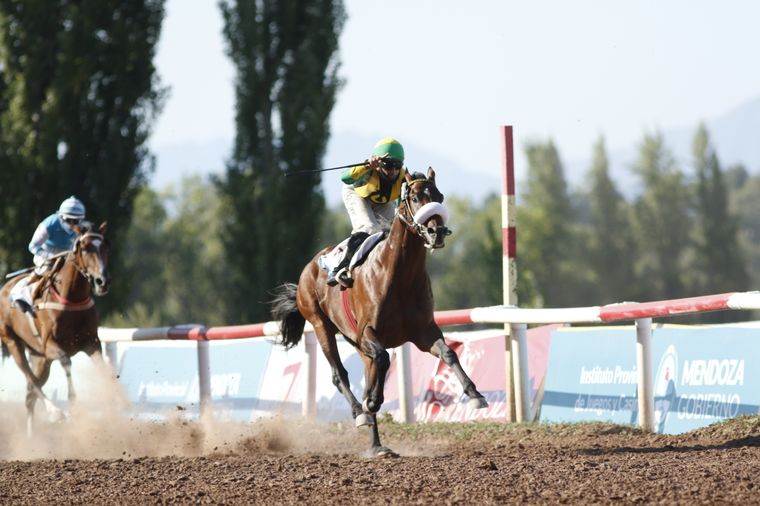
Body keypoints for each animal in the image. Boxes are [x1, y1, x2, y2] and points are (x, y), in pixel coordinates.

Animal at [0, 221, 110, 435]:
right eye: (85, 248)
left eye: (105, 247)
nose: (103, 281)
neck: (71, 297)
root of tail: (4, 288)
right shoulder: (51, 345)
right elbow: (66, 361)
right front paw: (72, 405)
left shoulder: (92, 342)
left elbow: (105, 371)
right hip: (13, 342)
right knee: (32, 381)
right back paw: (55, 412)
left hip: (40, 357)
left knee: (30, 394)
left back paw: (31, 438)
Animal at [271, 168, 488, 456]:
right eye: (415, 197)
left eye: (439, 196)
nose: (436, 231)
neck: (400, 276)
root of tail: (310, 267)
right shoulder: (367, 333)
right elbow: (384, 358)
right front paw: (372, 401)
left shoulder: (423, 333)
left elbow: (448, 353)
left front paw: (475, 396)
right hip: (320, 325)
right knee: (339, 374)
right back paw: (360, 412)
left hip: (356, 344)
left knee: (367, 372)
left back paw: (376, 446)